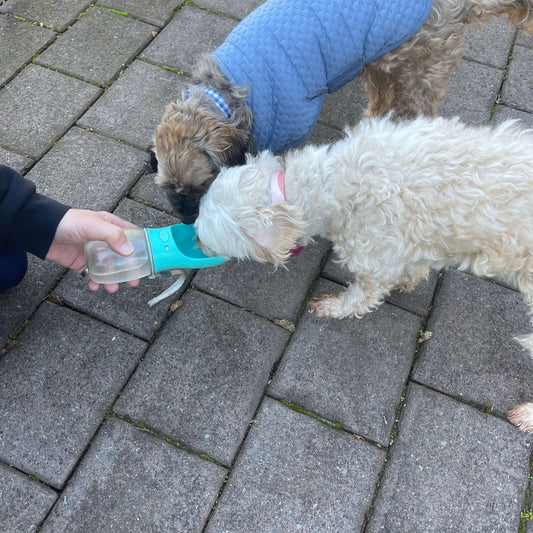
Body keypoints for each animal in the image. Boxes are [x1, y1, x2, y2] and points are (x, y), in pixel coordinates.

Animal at [194, 114, 532, 430]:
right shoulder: (412, 240)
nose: (194, 242)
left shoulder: (374, 261)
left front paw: (333, 307)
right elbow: (415, 264)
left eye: (203, 234)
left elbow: (360, 298)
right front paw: (410, 279)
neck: (325, 185)